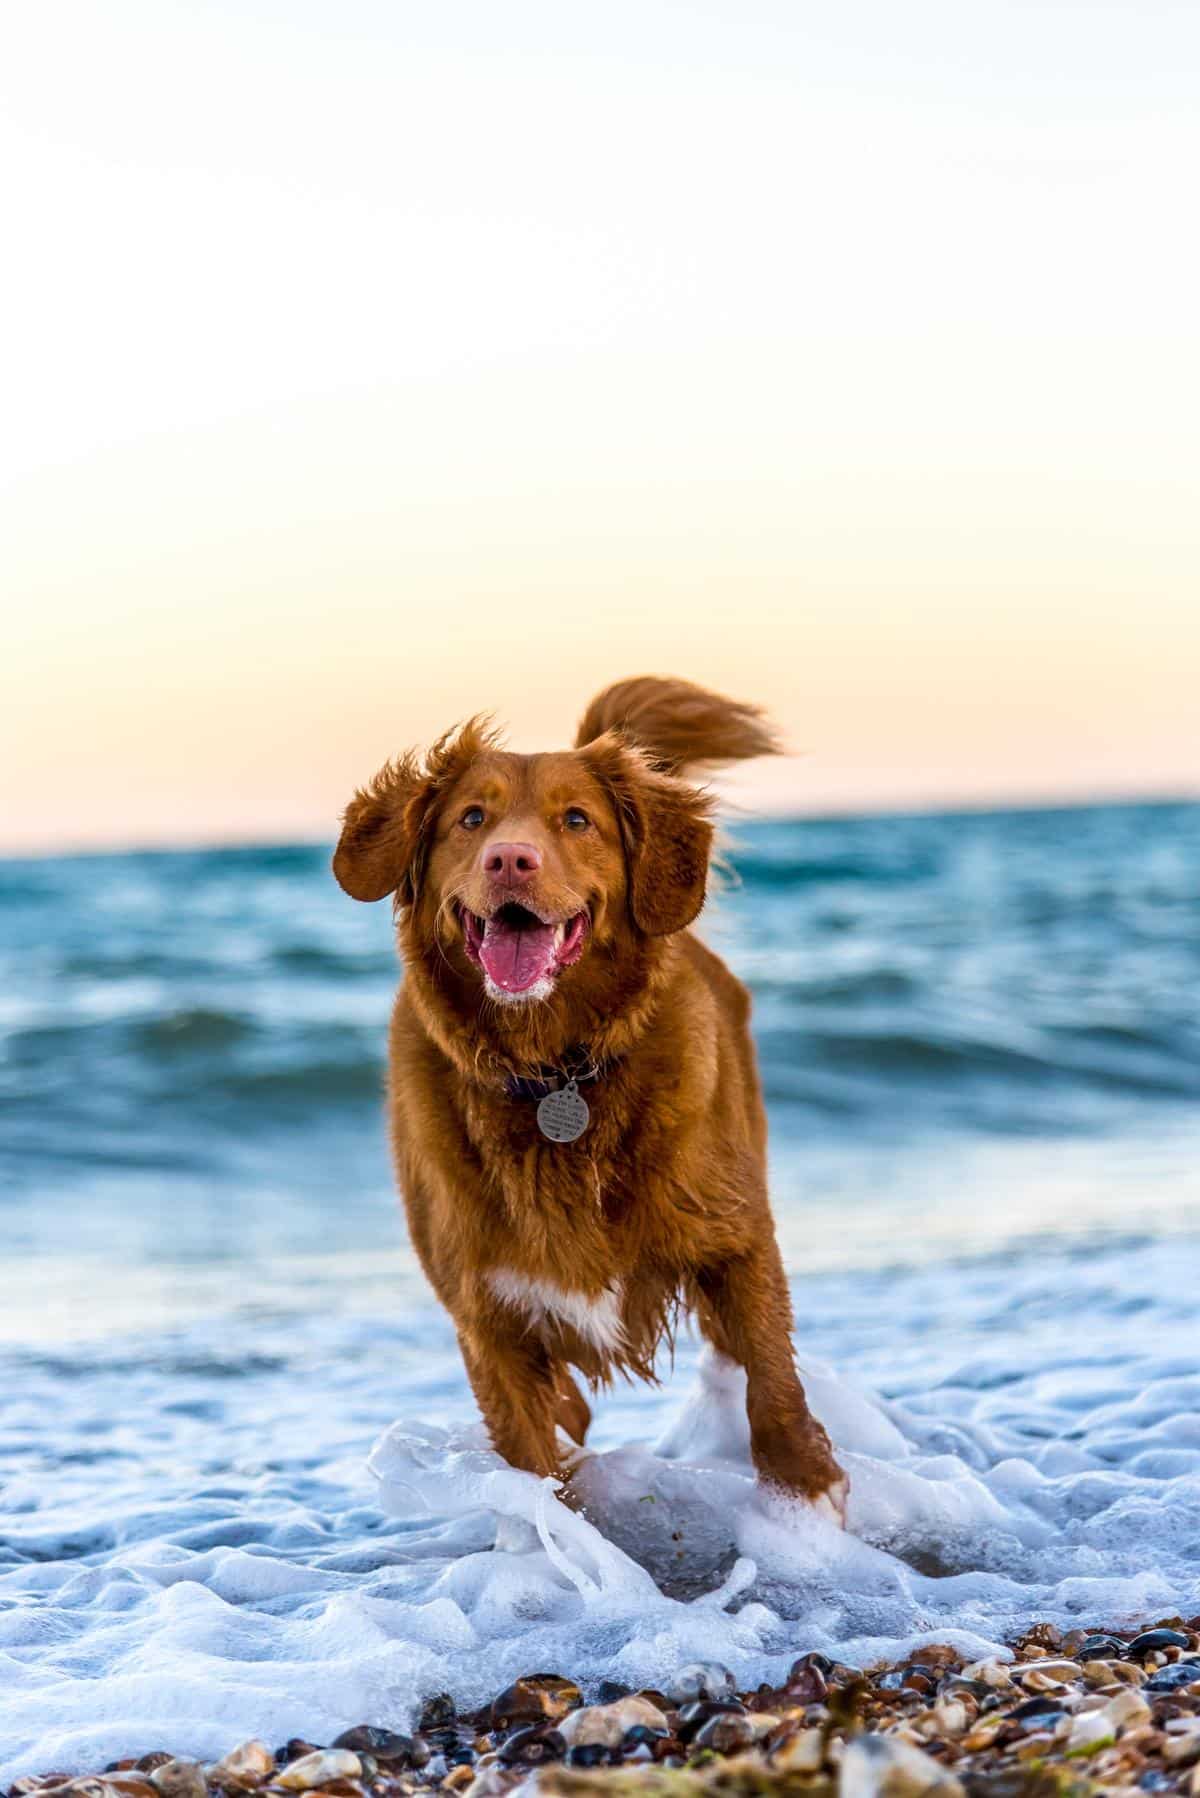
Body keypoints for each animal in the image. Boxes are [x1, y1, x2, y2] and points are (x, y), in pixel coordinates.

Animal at [332, 676, 849, 1517]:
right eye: (471, 818)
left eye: (577, 820)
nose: (511, 858)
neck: (555, 1072)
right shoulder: (487, 1316)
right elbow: (533, 1460)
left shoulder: (735, 1236)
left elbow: (771, 1376)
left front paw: (805, 1487)